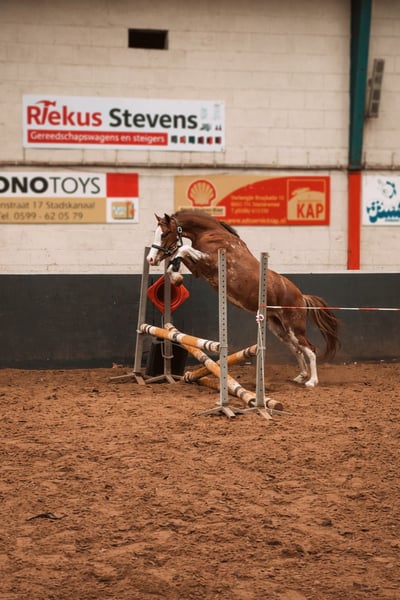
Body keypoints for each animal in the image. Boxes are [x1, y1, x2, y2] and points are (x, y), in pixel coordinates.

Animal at [146, 209, 340, 387]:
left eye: (164, 234)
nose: (150, 259)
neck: (210, 233)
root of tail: (301, 296)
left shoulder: (212, 261)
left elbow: (182, 249)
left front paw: (176, 274)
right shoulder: (199, 270)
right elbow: (179, 254)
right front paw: (176, 276)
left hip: (294, 327)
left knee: (310, 349)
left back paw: (312, 381)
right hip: (279, 328)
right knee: (297, 349)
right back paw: (301, 376)